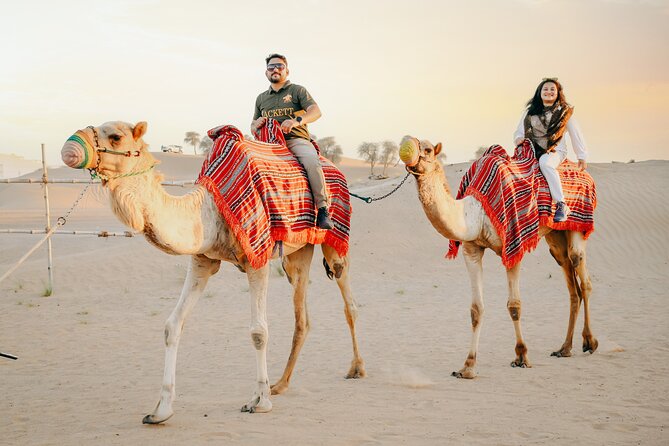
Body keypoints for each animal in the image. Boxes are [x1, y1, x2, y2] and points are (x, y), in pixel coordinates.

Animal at [61, 121, 365, 424]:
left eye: (115, 137)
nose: (70, 148)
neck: (207, 210)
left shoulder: (257, 257)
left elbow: (258, 332)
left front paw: (260, 401)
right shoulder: (202, 261)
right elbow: (172, 325)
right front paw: (161, 410)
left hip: (333, 240)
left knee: (348, 301)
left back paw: (356, 368)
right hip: (298, 252)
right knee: (302, 317)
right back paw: (280, 384)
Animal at [398, 137, 597, 379]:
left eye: (427, 150)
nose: (408, 152)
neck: (473, 212)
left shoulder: (513, 246)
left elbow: (514, 305)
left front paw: (521, 356)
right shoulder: (472, 249)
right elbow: (476, 309)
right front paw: (467, 367)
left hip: (578, 225)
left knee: (582, 276)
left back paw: (589, 342)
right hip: (555, 235)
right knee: (570, 279)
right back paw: (564, 348)